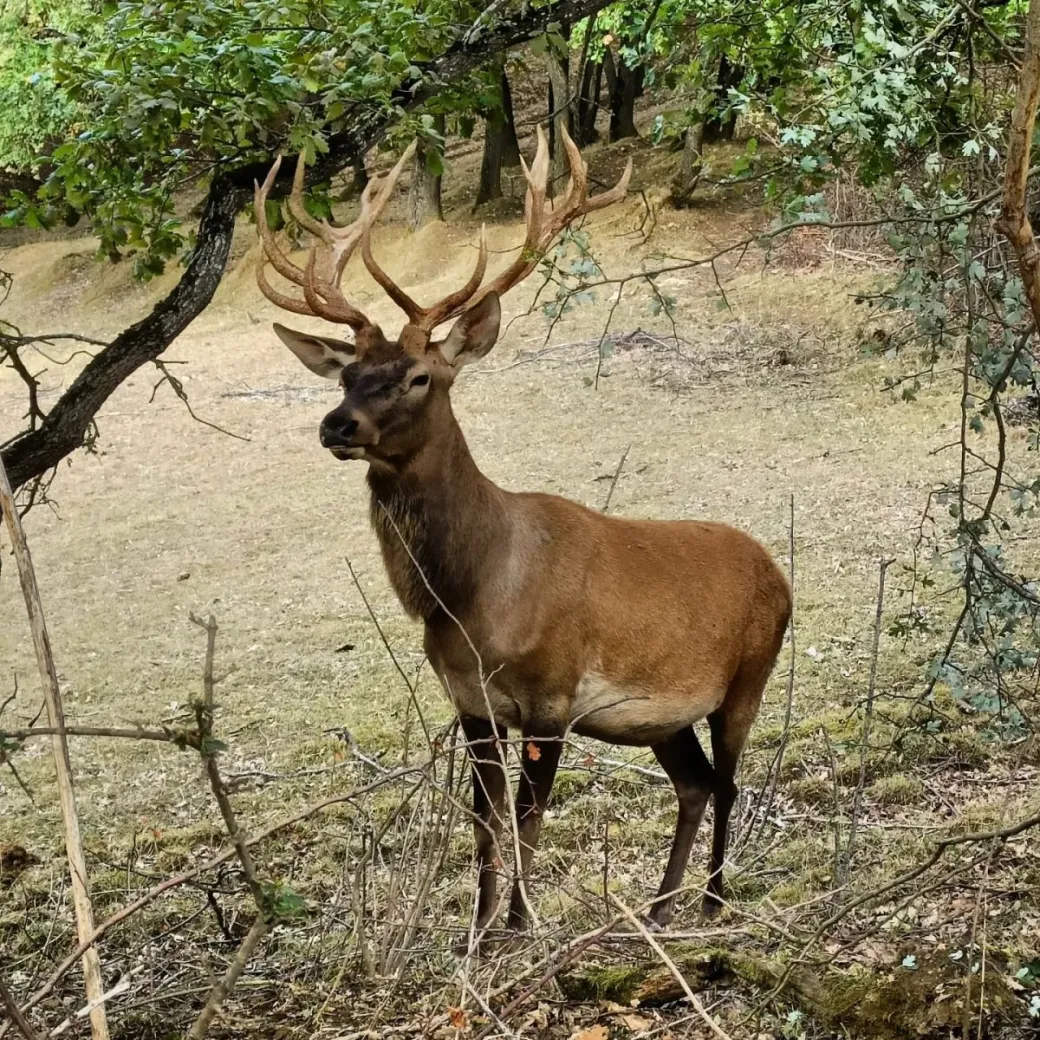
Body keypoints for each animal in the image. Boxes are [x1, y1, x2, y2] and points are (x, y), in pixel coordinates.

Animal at [253, 125, 792, 941]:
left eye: (419, 377)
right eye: (346, 376)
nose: (336, 425)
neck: (470, 599)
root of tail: (780, 572)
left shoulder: (553, 695)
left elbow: (529, 820)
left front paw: (518, 924)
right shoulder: (472, 704)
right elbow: (484, 821)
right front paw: (476, 933)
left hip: (749, 674)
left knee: (729, 781)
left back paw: (712, 902)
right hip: (662, 716)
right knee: (694, 785)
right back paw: (658, 906)